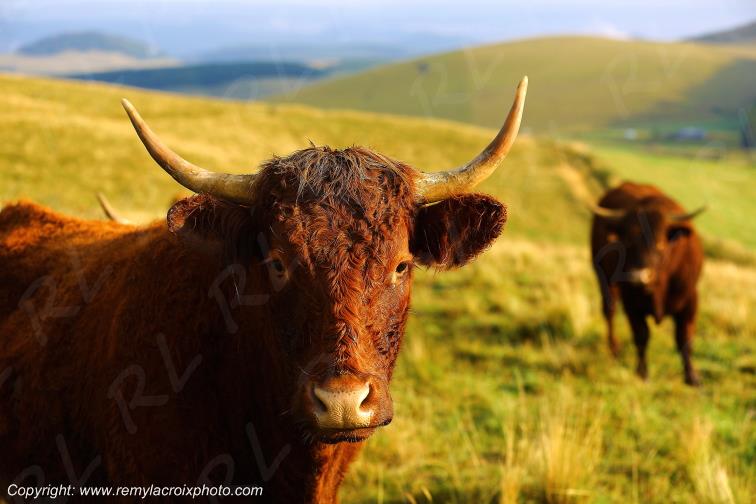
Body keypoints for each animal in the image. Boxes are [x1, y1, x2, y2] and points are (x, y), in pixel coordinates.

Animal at [590, 182, 706, 386]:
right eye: (627, 241)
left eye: (660, 243)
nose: (638, 278)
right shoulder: (631, 304)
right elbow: (641, 336)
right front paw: (642, 373)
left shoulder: (690, 300)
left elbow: (685, 338)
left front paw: (692, 376)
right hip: (605, 280)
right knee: (609, 312)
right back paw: (614, 349)